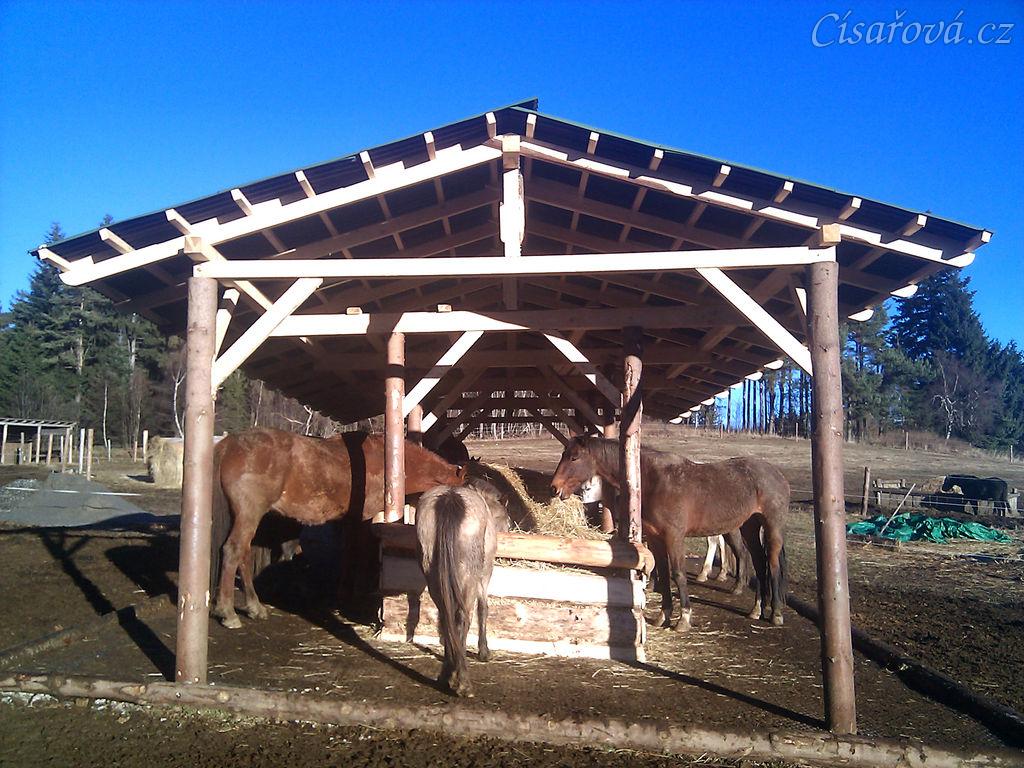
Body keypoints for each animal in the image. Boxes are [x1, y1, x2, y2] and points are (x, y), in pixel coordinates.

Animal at [211, 428, 466, 629]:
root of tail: (228, 444)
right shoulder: (363, 520)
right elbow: (358, 555)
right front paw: (357, 596)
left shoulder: (351, 521)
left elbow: (349, 554)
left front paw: (345, 592)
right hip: (249, 514)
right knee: (234, 550)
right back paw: (228, 613)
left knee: (243, 554)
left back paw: (254, 607)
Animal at [415, 478, 508, 697]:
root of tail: (450, 499)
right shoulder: (484, 575)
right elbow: (483, 609)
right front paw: (484, 651)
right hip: (469, 577)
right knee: (462, 617)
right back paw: (463, 681)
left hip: (433, 574)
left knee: (445, 615)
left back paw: (446, 675)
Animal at [550, 435, 789, 631]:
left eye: (574, 457)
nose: (554, 487)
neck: (654, 480)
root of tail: (777, 474)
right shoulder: (656, 538)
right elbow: (664, 574)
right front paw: (662, 616)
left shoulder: (674, 537)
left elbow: (678, 574)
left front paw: (683, 619)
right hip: (749, 527)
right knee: (759, 563)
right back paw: (757, 609)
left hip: (771, 526)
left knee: (772, 564)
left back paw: (776, 613)